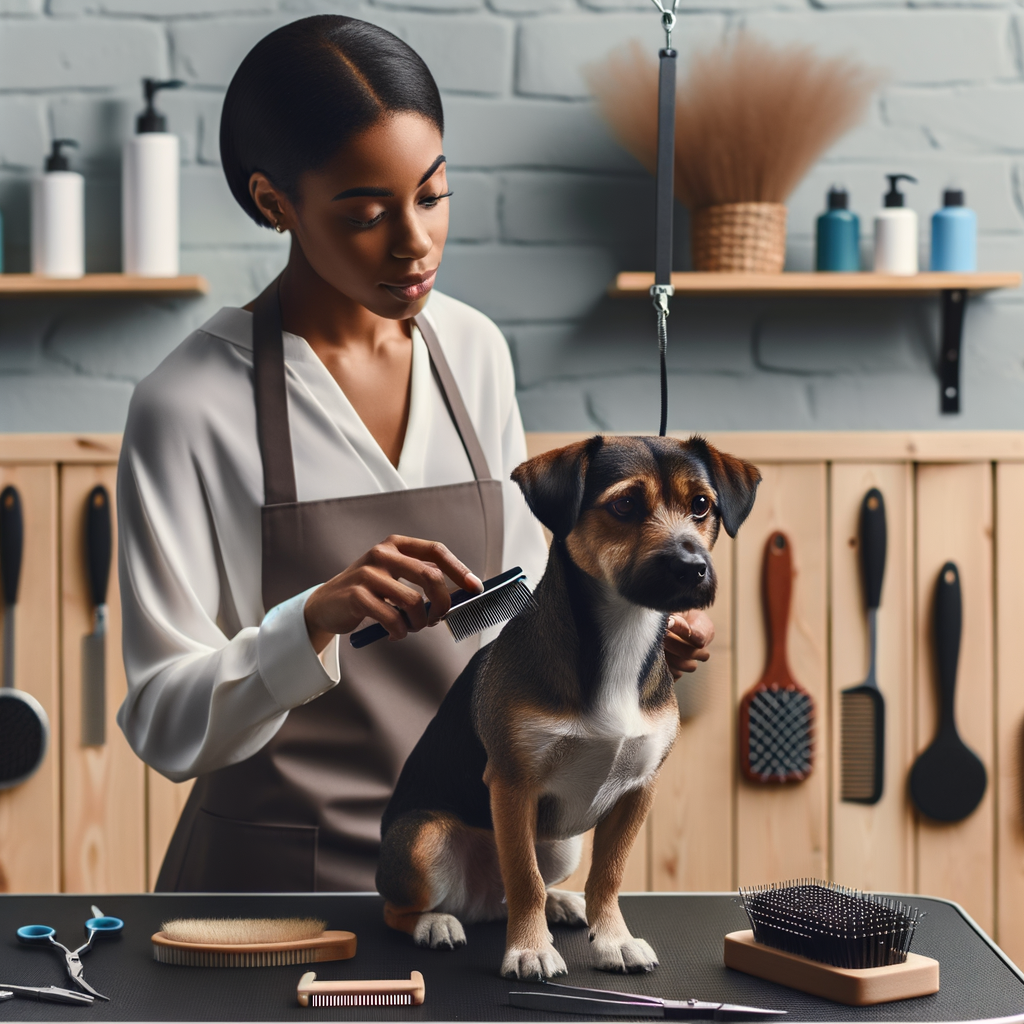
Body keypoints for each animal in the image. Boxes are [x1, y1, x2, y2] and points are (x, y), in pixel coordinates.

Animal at [376, 432, 761, 974]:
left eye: (701, 505)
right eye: (624, 504)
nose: (693, 568)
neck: (620, 637)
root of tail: (477, 899)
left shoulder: (639, 789)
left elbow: (609, 875)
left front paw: (614, 939)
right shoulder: (512, 785)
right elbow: (524, 878)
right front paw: (530, 949)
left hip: (561, 845)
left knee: (518, 888)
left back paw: (559, 904)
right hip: (423, 839)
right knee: (405, 907)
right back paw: (435, 924)